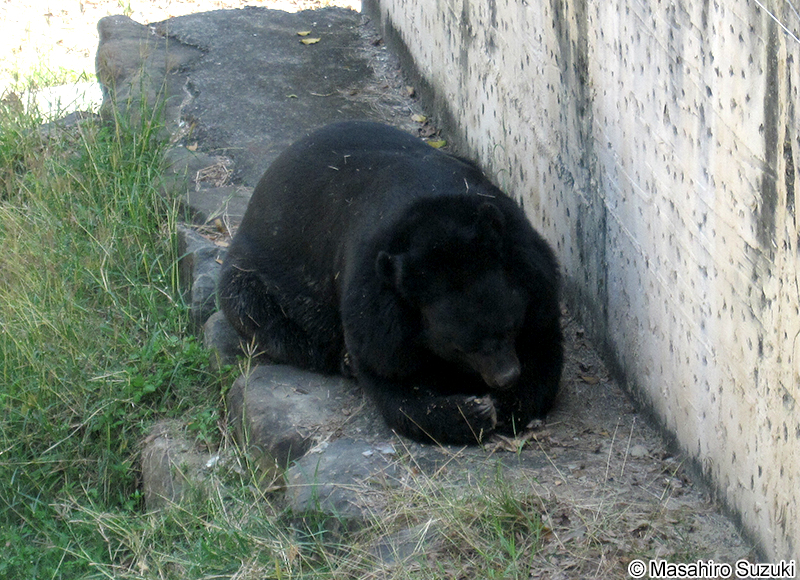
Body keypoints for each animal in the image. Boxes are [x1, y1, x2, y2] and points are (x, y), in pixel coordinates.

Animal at [218, 120, 563, 444]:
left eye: (511, 326)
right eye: (461, 347)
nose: (506, 376)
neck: (436, 224)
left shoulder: (533, 273)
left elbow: (543, 350)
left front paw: (504, 403)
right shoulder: (374, 305)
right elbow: (387, 375)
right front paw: (472, 412)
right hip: (252, 274)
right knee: (259, 314)